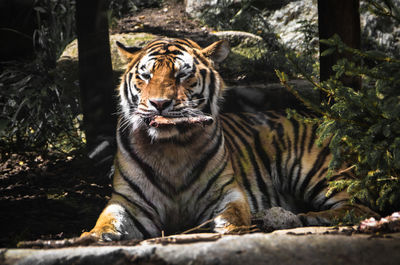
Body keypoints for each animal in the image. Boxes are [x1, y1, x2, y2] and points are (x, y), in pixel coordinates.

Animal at [82, 37, 378, 241]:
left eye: (182, 75)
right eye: (145, 76)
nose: (159, 104)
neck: (171, 148)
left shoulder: (226, 193)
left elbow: (233, 216)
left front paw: (235, 230)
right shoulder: (128, 201)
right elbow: (108, 220)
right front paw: (93, 236)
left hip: (315, 172)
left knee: (360, 208)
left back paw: (303, 218)